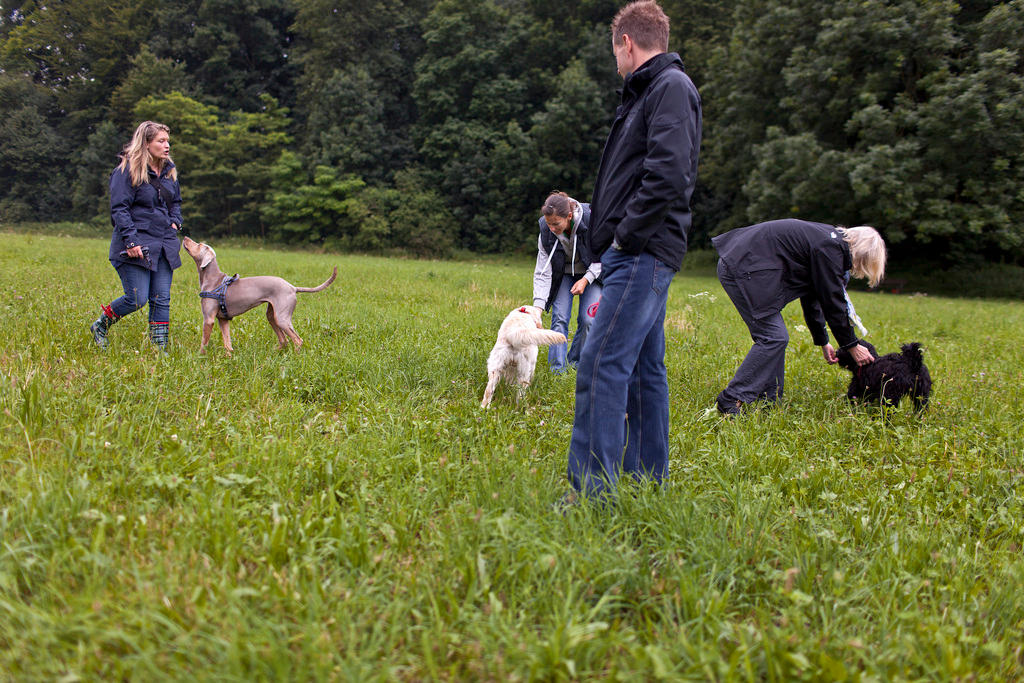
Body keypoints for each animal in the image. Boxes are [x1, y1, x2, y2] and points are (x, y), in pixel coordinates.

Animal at [182, 236, 336, 354]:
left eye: (199, 244)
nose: (185, 237)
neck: (214, 280)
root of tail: (292, 287)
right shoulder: (223, 320)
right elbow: (227, 343)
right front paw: (229, 358)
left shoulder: (208, 320)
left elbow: (204, 342)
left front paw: (200, 357)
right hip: (272, 316)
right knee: (284, 340)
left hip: (282, 318)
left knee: (298, 340)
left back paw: (295, 356)